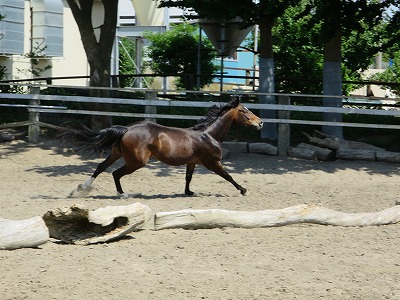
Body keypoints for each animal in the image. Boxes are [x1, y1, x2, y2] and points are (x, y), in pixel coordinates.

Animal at [59, 97, 264, 198]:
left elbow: (188, 178)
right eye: (244, 111)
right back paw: (123, 195)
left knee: (100, 168)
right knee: (115, 173)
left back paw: (80, 189)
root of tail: (127, 129)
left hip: (117, 153)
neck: (209, 135)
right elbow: (228, 176)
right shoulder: (212, 162)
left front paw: (189, 192)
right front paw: (243, 190)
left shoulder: (192, 162)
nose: (260, 123)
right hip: (136, 162)